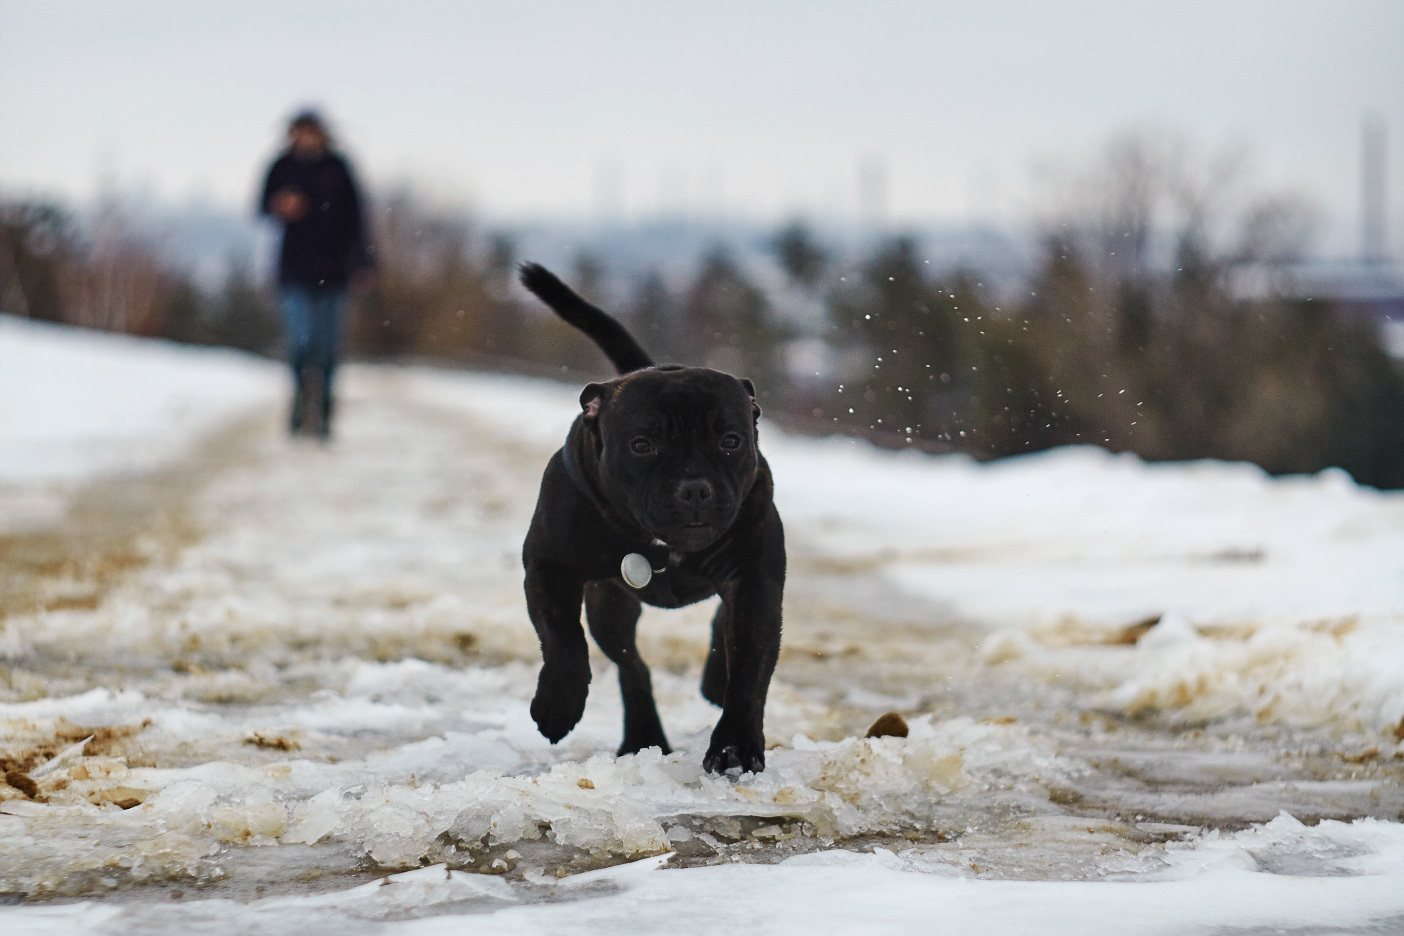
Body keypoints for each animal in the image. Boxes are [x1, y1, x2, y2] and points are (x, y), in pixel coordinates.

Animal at [516, 265, 786, 774]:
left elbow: (749, 668)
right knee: (632, 665)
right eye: (642, 445)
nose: (695, 486)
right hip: (610, 607)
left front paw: (735, 748)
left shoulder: (755, 582)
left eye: (731, 440)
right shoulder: (549, 567)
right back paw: (644, 736)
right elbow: (563, 641)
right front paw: (557, 706)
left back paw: (709, 683)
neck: (660, 546)